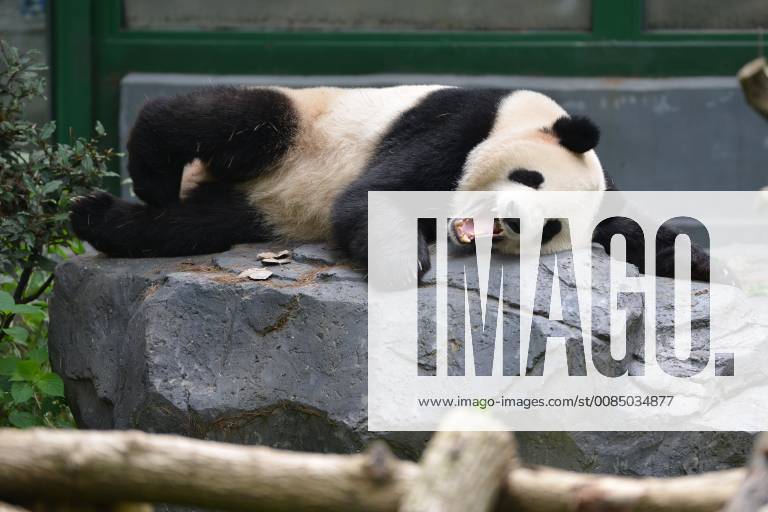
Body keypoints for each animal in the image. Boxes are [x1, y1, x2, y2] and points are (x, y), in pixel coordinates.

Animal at [70, 84, 711, 281]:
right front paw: (409, 260)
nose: (509, 220)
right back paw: (149, 175)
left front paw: (693, 260)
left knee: (190, 223)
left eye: (549, 227)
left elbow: (628, 229)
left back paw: (99, 217)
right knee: (224, 116)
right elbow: (376, 195)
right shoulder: (458, 122)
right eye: (529, 177)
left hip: (249, 206)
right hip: (299, 126)